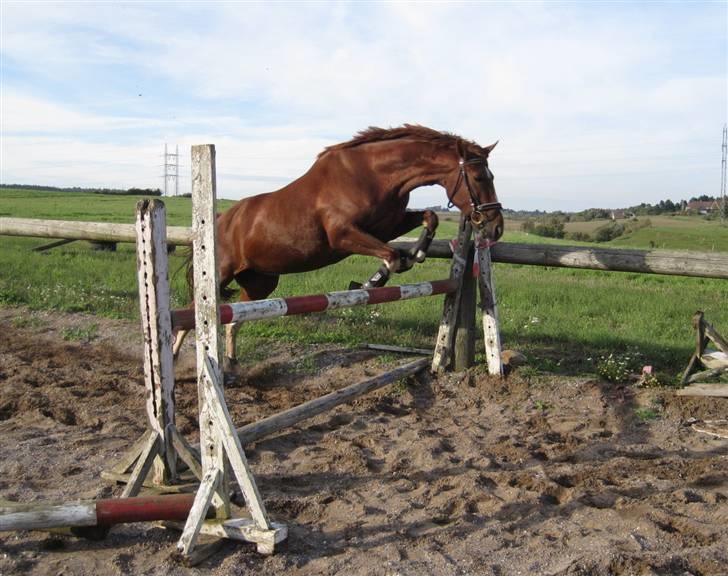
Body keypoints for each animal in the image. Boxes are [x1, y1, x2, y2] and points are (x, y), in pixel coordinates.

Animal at [178, 125, 500, 364]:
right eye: (478, 177)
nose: (495, 227)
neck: (374, 174)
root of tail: (219, 219)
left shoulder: (388, 224)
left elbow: (428, 218)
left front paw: (416, 253)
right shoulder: (343, 235)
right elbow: (391, 256)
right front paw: (373, 281)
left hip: (260, 283)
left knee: (234, 320)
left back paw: (232, 365)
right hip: (219, 274)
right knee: (189, 316)